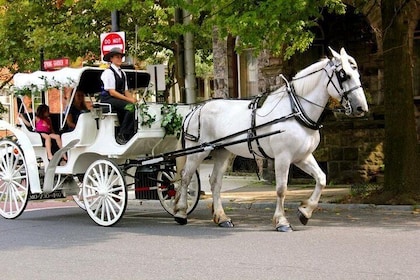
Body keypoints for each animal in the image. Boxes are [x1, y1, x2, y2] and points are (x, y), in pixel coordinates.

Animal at [174, 48, 368, 232]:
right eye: (344, 75)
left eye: (357, 74)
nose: (362, 108)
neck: (296, 111)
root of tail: (196, 110)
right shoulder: (283, 157)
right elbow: (281, 189)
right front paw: (282, 222)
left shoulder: (302, 157)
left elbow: (321, 179)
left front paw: (305, 211)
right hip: (198, 151)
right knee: (185, 177)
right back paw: (181, 212)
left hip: (222, 152)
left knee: (215, 182)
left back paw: (222, 218)